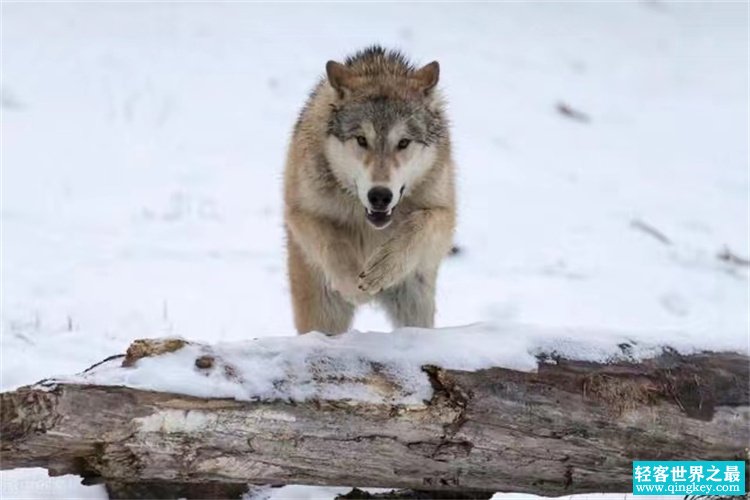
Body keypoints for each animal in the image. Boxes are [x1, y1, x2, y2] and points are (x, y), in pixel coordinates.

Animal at [284, 46, 456, 336]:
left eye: (403, 142)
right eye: (362, 140)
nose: (380, 195)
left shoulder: (444, 213)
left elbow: (419, 225)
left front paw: (382, 268)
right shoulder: (301, 213)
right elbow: (333, 244)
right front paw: (353, 284)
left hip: (416, 305)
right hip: (322, 313)